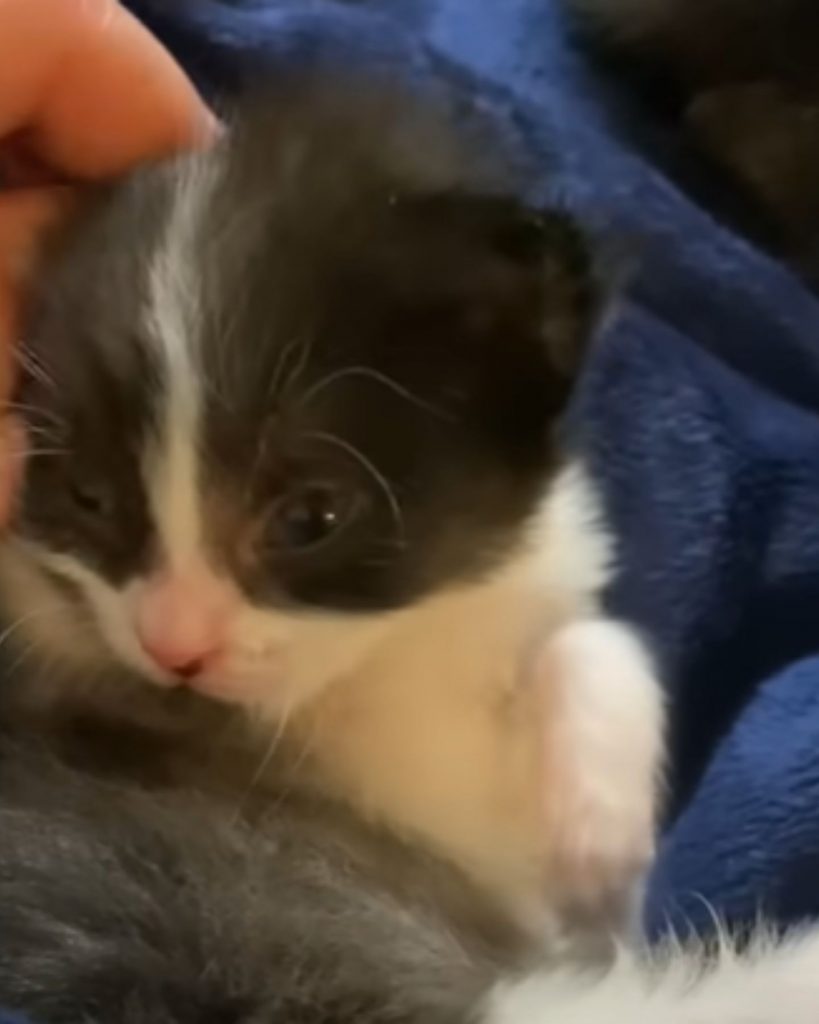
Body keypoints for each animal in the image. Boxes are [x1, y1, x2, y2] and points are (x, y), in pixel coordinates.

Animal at [0, 81, 663, 929]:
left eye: (309, 517)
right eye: (88, 496)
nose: (176, 649)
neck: (367, 674)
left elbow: (592, 640)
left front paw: (598, 824)